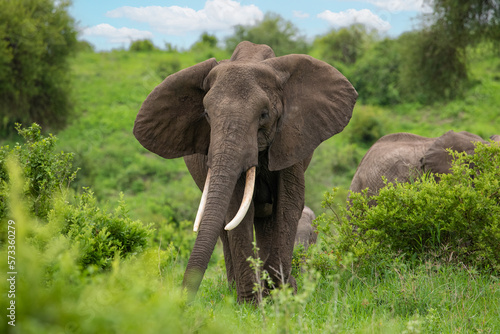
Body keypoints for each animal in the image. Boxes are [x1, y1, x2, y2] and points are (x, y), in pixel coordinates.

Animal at [133, 41, 358, 302]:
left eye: (264, 115)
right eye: (206, 115)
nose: (181, 302)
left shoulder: (291, 139)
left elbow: (288, 204)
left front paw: (280, 294)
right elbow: (236, 209)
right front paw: (252, 303)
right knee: (224, 225)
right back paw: (235, 289)